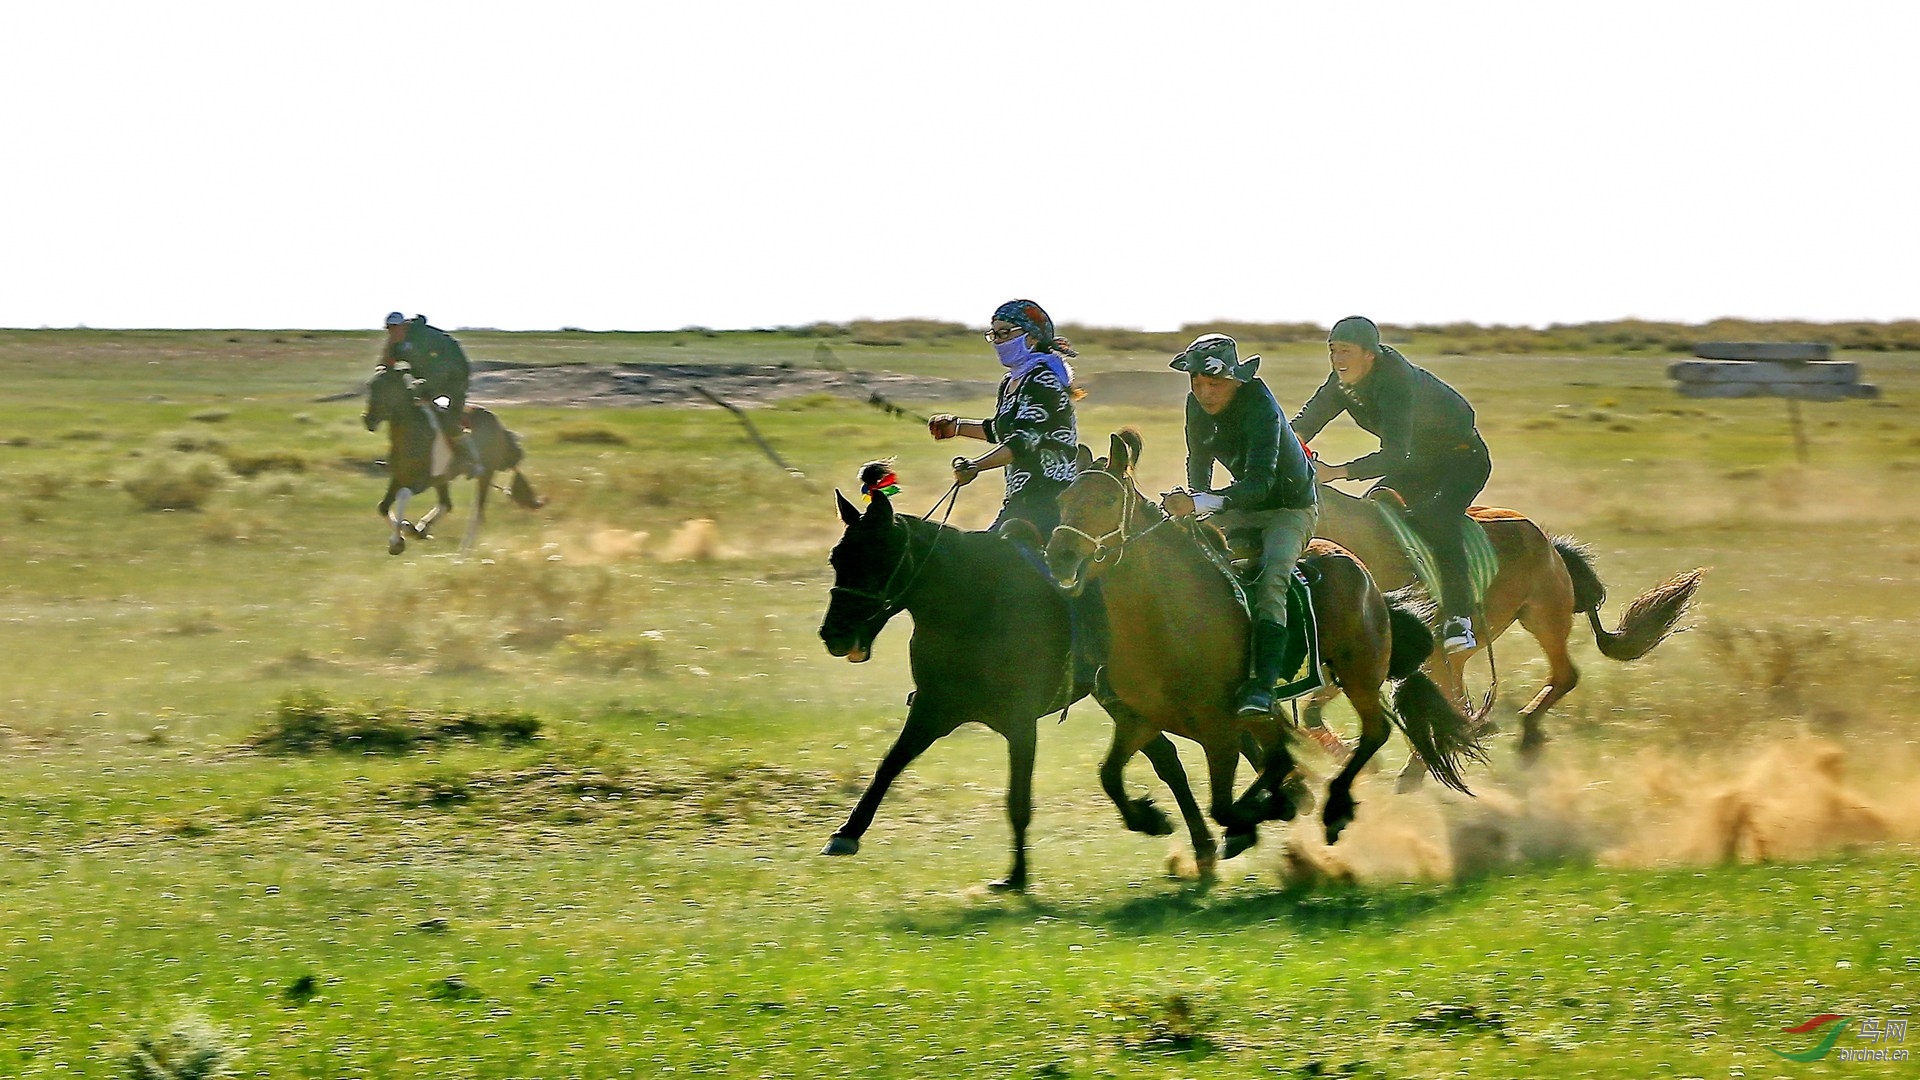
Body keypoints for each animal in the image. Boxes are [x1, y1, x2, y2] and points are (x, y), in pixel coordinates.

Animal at [360, 363, 545, 553]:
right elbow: (382, 507)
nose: (368, 420)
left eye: (387, 387)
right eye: (370, 385)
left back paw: (464, 548)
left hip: (484, 475)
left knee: (477, 512)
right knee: (447, 504)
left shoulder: (423, 481)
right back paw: (423, 528)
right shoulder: (399, 478)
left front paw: (400, 538)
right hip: (444, 480)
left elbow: (403, 495)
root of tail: (497, 423)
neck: (413, 433)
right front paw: (404, 534)